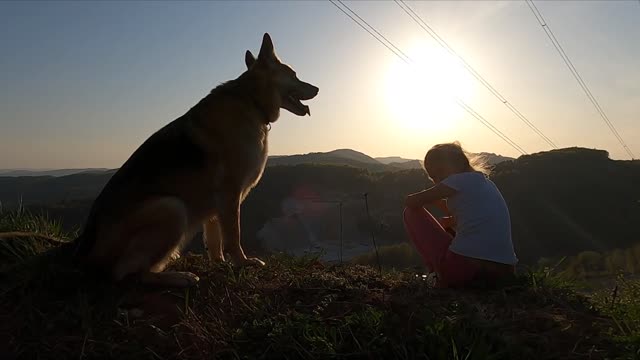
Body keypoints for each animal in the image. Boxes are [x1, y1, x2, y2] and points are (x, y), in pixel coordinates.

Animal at [72, 33, 318, 286]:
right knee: (127, 273)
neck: (250, 100)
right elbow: (233, 235)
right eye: (294, 74)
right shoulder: (230, 193)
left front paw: (220, 263)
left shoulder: (219, 202)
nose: (317, 88)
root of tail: (84, 257)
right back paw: (180, 277)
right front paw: (242, 262)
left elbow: (215, 238)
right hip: (173, 208)